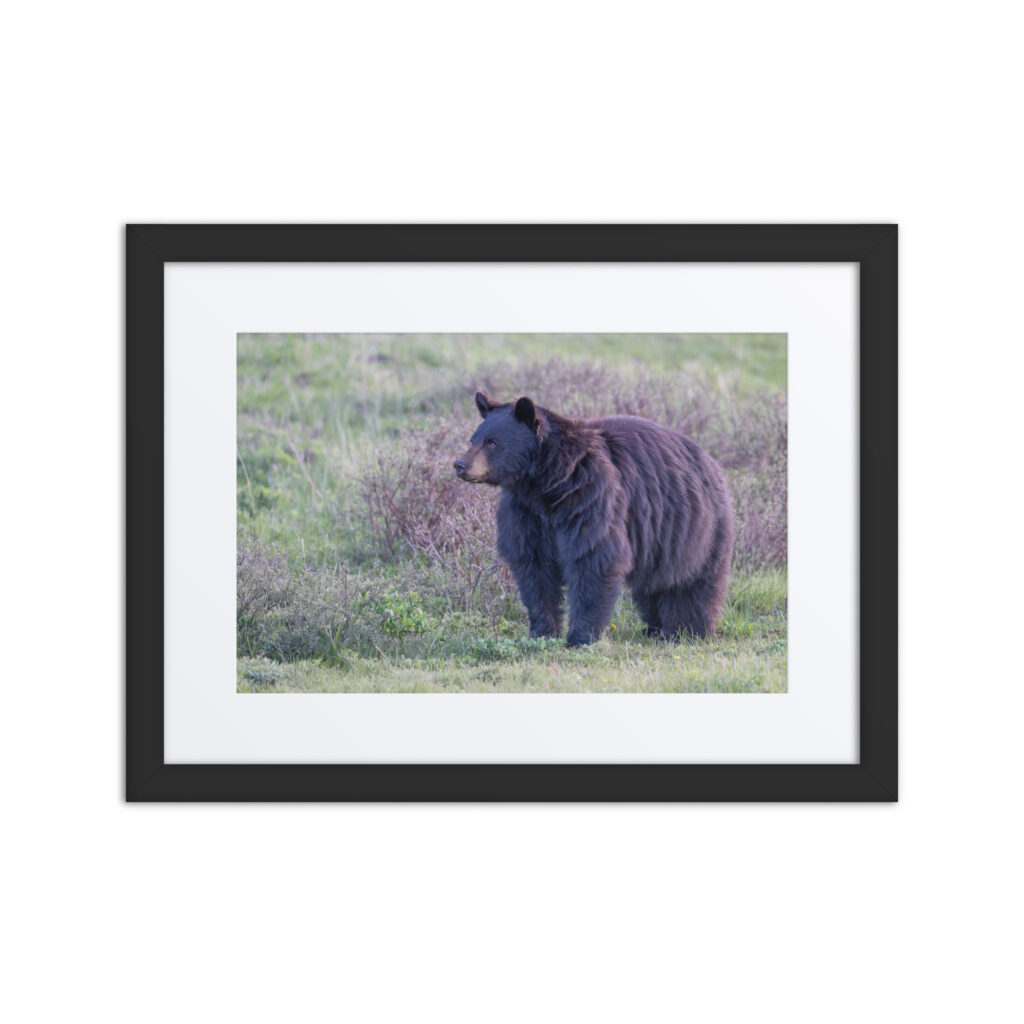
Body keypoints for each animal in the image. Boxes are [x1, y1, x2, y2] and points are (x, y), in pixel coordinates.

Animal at [454, 392, 734, 647]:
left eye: (492, 442)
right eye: (473, 439)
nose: (460, 464)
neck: (547, 484)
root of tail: (711, 461)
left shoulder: (590, 495)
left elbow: (593, 557)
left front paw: (579, 637)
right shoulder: (526, 513)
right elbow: (534, 568)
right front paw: (542, 632)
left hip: (695, 527)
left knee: (692, 582)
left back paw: (686, 630)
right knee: (653, 584)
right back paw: (654, 628)